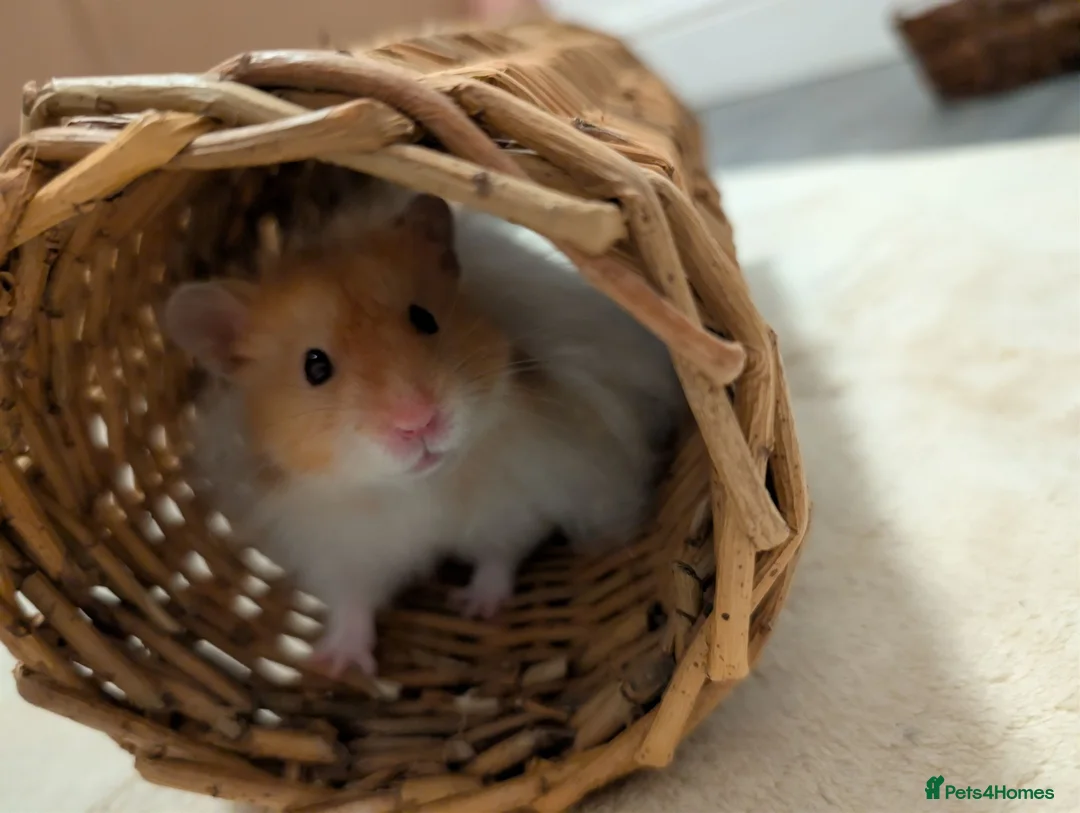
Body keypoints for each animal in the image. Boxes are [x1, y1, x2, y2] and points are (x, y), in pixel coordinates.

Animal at [164, 194, 685, 676]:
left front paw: (475, 607)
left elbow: (498, 556)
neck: (421, 485)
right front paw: (336, 663)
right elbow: (354, 601)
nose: (418, 421)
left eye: (424, 319)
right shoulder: (342, 549)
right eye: (315, 367)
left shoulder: (516, 499)